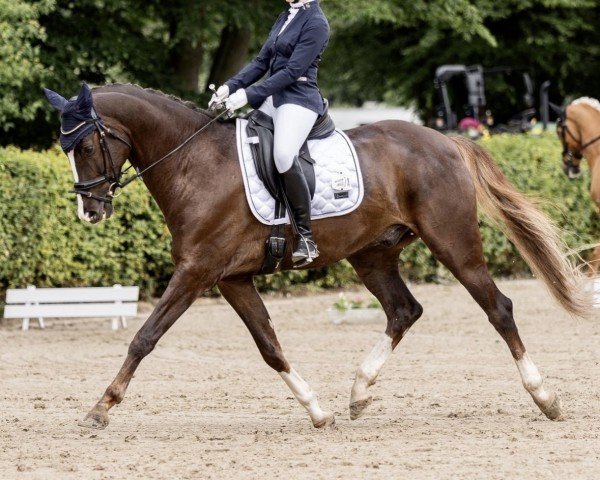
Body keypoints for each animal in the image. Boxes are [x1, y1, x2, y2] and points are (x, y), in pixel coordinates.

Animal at [44, 84, 588, 430]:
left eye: (87, 145)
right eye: (65, 147)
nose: (90, 210)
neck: (195, 163)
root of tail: (447, 141)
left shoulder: (196, 273)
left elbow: (144, 337)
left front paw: (100, 409)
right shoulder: (230, 279)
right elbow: (270, 346)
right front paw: (316, 410)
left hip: (453, 243)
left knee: (498, 308)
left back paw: (546, 398)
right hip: (372, 254)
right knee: (404, 310)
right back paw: (359, 393)